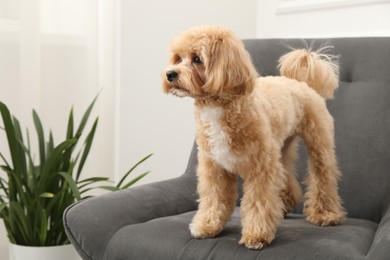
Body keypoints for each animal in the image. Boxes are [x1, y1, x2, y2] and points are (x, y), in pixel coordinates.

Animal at [161, 26, 344, 250]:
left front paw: (257, 235)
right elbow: (214, 198)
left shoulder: (261, 168)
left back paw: (325, 215)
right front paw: (207, 226)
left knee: (323, 176)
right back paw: (285, 205)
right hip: (281, 149)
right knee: (286, 176)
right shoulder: (214, 168)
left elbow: (258, 201)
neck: (219, 106)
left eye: (197, 59)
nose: (170, 74)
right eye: (178, 58)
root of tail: (301, 83)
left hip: (318, 142)